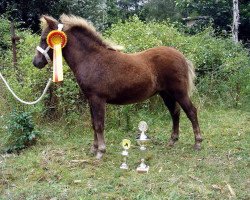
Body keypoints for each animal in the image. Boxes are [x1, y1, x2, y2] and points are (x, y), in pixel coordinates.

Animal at [33, 14, 202, 159]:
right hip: (166, 94)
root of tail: (181, 56)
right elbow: (94, 124)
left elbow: (99, 125)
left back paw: (198, 143)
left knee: (191, 112)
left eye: (44, 38)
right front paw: (94, 148)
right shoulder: (90, 100)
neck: (91, 59)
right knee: (175, 113)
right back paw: (172, 141)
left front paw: (101, 151)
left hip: (179, 92)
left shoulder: (98, 99)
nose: (36, 62)